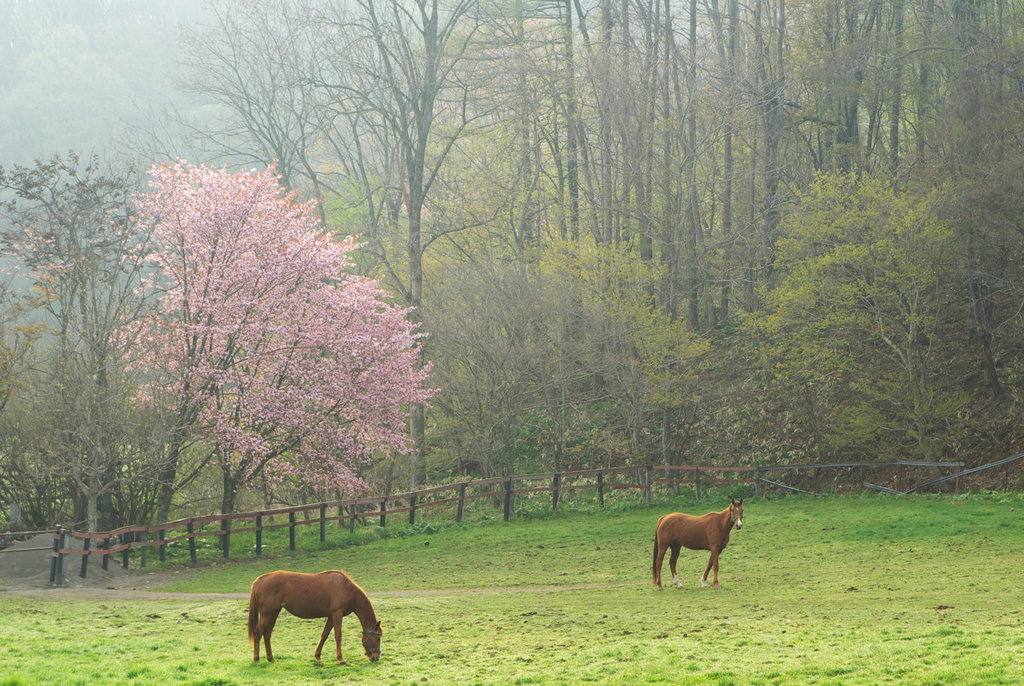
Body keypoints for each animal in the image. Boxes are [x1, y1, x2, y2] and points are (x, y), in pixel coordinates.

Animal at [245, 569, 382, 667]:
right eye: (378, 638)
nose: (375, 658)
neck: (346, 589)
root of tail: (261, 579)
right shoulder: (336, 614)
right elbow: (338, 636)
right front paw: (341, 659)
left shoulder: (331, 616)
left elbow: (324, 635)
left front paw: (317, 656)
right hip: (267, 613)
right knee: (258, 633)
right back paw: (256, 659)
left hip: (273, 613)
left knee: (267, 634)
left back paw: (271, 658)